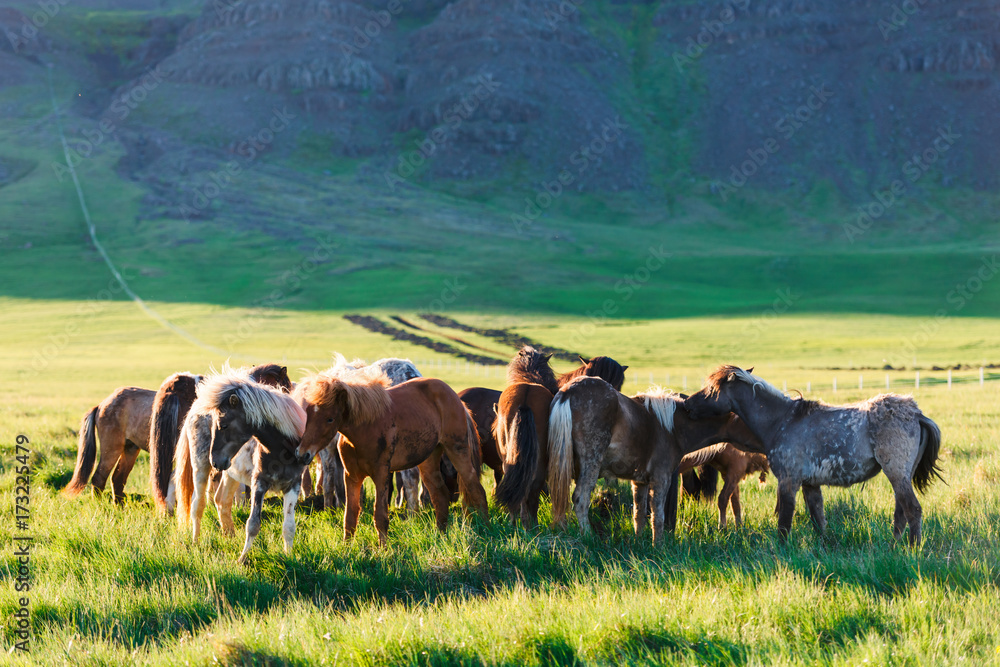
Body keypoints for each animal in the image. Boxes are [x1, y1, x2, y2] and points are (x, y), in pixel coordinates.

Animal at [185, 370, 306, 564]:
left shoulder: (293, 485)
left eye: (223, 425)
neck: (282, 451)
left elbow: (289, 526)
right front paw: (242, 559)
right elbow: (253, 523)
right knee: (198, 504)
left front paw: (289, 556)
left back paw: (229, 536)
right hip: (200, 466)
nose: (215, 461)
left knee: (222, 501)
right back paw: (196, 542)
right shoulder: (259, 483)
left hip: (230, 473)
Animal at [292, 370, 488, 548]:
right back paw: (440, 536)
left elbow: (380, 515)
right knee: (440, 495)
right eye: (308, 414)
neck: (363, 430)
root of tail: (456, 398)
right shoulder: (352, 476)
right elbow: (350, 515)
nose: (302, 454)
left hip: (457, 450)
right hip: (429, 460)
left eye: (330, 419)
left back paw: (485, 530)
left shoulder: (381, 474)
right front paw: (346, 549)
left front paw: (384, 551)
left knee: (475, 488)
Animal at [684, 368, 940, 544]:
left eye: (712, 390)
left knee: (912, 510)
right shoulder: (810, 485)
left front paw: (782, 550)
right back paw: (894, 546)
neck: (781, 421)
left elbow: (784, 523)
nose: (687, 403)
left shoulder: (788, 482)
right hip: (900, 477)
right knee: (900, 513)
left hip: (896, 474)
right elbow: (818, 520)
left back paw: (912, 549)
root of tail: (916, 413)